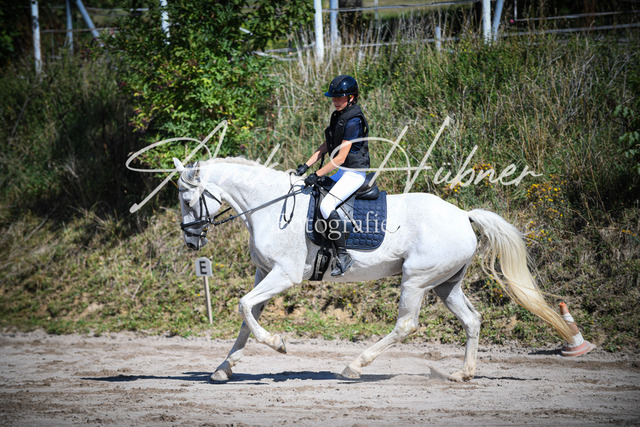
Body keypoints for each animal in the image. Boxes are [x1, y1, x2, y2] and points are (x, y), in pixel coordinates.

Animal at [174, 156, 574, 382]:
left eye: (188, 199)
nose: (191, 242)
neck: (270, 206)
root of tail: (463, 215)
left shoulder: (283, 275)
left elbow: (243, 306)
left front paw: (278, 344)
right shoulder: (263, 274)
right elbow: (247, 316)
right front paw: (223, 369)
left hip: (416, 280)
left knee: (406, 325)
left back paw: (355, 366)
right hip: (446, 284)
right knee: (472, 320)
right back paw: (462, 373)